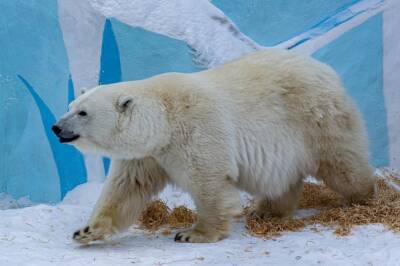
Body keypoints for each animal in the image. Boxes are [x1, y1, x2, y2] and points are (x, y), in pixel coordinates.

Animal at [52, 48, 376, 244]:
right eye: (71, 106)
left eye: (83, 112)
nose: (56, 127)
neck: (163, 121)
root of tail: (327, 70)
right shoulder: (147, 154)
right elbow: (125, 189)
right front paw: (86, 231)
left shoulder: (196, 129)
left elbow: (209, 181)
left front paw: (193, 233)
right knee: (283, 179)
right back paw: (267, 211)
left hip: (316, 117)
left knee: (342, 162)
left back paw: (365, 196)